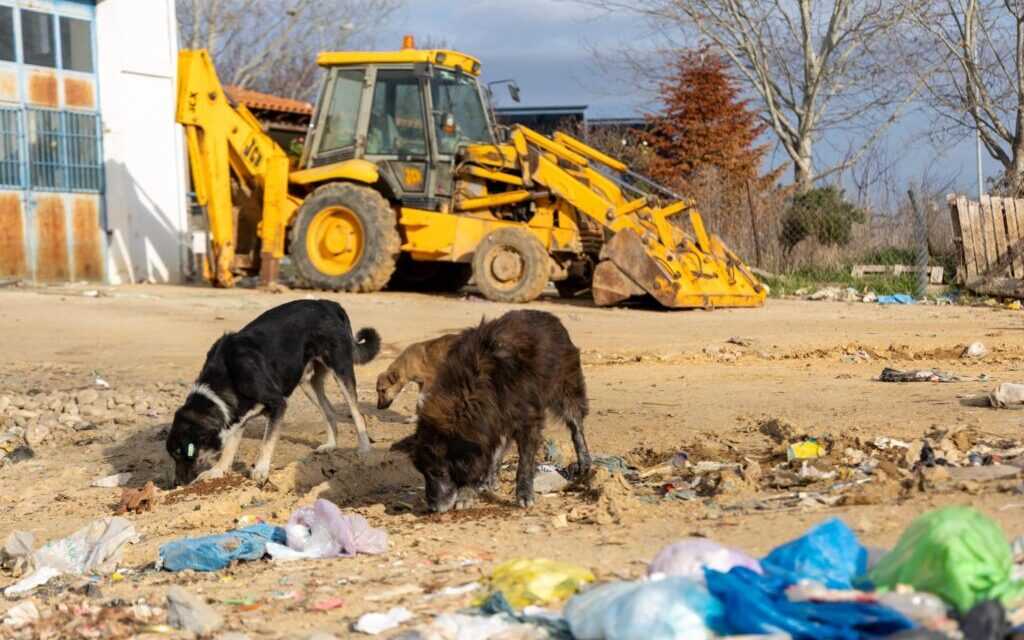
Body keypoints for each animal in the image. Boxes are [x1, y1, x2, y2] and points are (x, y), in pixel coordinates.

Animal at [166, 299, 380, 483]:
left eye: (182, 452)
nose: (176, 484)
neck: (227, 376)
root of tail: (329, 303)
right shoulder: (237, 415)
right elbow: (229, 448)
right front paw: (218, 470)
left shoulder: (278, 403)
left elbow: (266, 442)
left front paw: (260, 469)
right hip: (306, 381)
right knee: (329, 411)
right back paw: (331, 445)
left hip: (340, 370)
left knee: (357, 413)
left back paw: (364, 448)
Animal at [393, 307, 593, 512]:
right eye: (423, 472)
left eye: (438, 472)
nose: (432, 508)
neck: (473, 385)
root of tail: (549, 316)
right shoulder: (491, 421)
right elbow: (487, 456)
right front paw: (472, 489)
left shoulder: (527, 420)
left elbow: (524, 462)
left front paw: (524, 493)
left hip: (567, 392)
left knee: (577, 428)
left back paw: (584, 462)